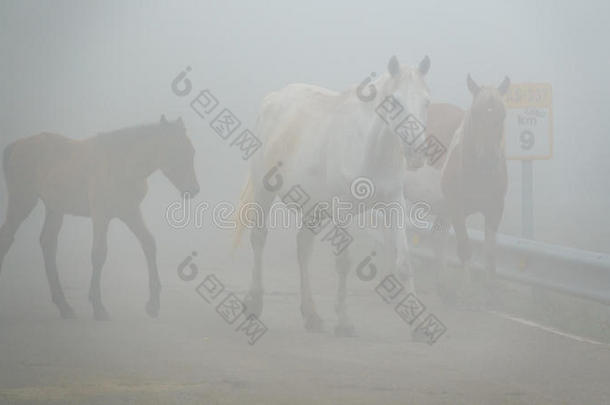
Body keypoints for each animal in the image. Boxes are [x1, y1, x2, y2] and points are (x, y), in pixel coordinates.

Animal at [0, 116, 200, 318]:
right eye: (176, 151)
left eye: (191, 151)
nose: (193, 190)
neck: (123, 165)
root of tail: (16, 146)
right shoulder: (101, 215)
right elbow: (99, 253)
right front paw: (98, 306)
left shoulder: (131, 212)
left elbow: (149, 243)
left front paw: (153, 304)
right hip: (23, 201)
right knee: (7, 238)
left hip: (54, 208)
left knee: (48, 243)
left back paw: (64, 306)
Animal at [233, 56, 428, 334]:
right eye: (395, 101)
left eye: (426, 102)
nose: (416, 154)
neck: (369, 149)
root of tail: (272, 99)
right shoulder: (342, 209)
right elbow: (344, 262)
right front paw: (344, 322)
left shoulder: (394, 203)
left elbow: (404, 262)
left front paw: (420, 326)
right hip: (263, 189)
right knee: (259, 238)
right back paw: (254, 303)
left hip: (312, 207)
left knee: (303, 248)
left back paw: (311, 315)